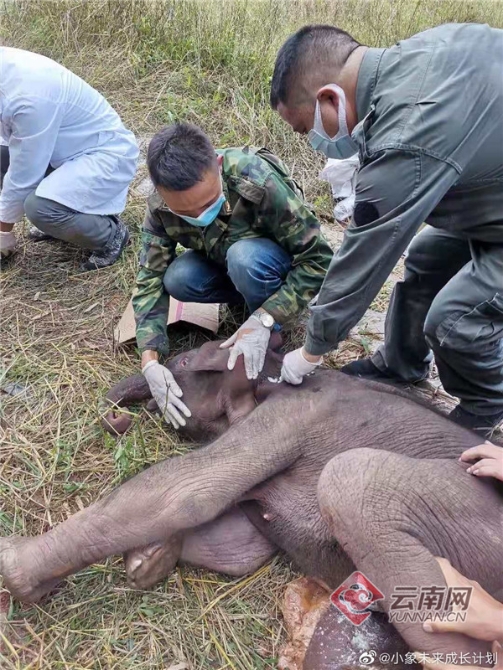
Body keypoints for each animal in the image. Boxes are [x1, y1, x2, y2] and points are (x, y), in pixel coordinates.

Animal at [1, 336, 502, 668]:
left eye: (184, 359)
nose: (117, 415)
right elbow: (237, 549)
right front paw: (146, 562)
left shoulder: (295, 413)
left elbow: (190, 492)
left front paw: (15, 565)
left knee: (353, 483)